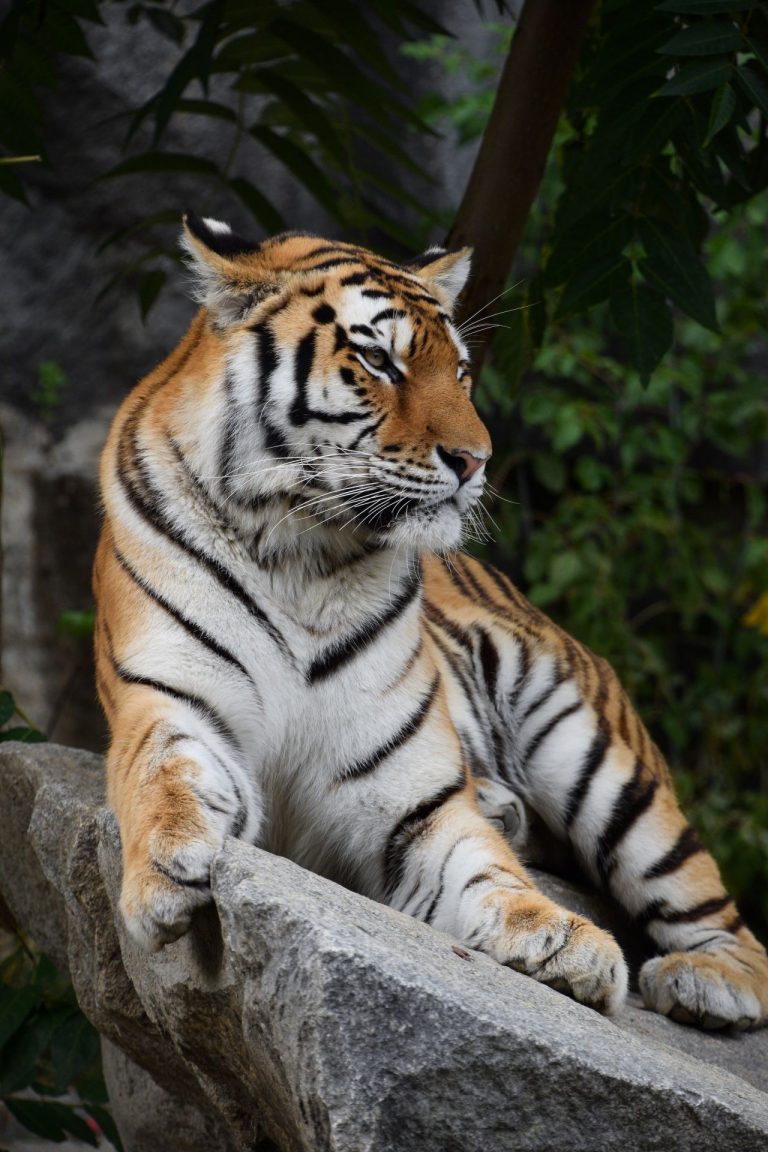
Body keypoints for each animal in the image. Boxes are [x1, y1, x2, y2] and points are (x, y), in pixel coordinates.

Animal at [94, 211, 768, 1032]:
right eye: (378, 359)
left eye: (463, 372)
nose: (477, 460)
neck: (298, 550)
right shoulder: (169, 701)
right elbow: (164, 775)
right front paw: (168, 867)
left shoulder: (410, 796)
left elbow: (482, 869)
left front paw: (563, 940)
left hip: (599, 756)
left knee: (723, 917)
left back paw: (708, 982)